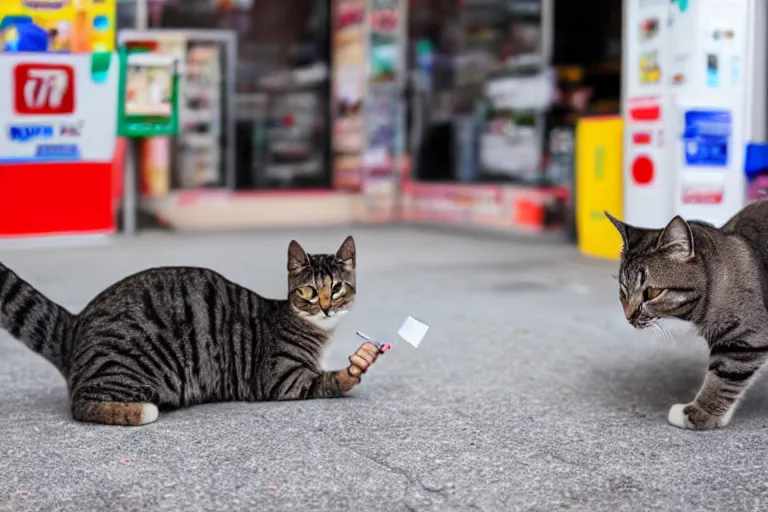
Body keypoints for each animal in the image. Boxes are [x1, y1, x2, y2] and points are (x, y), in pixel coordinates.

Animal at [0, 238, 382, 426]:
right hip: (132, 364)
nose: (326, 307)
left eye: (336, 288)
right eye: (308, 292)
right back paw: (137, 411)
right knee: (82, 403)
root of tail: (78, 321)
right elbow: (326, 380)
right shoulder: (281, 377)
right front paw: (352, 370)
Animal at [608, 198, 768, 430]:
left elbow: (723, 379)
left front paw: (698, 414)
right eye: (623, 290)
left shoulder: (746, 337)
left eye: (652, 293)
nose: (629, 315)